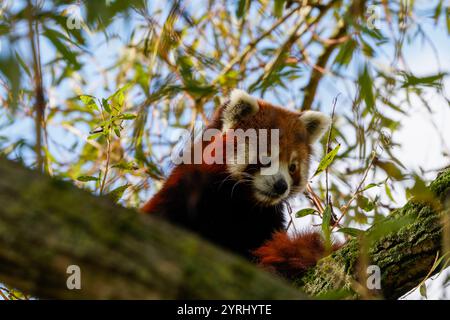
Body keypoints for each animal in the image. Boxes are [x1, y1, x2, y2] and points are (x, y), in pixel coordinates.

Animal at [142, 89, 336, 278]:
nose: (281, 186)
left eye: (292, 167)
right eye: (265, 158)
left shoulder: (266, 221)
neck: (237, 202)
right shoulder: (183, 193)